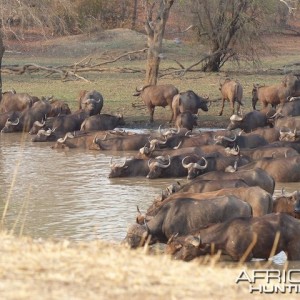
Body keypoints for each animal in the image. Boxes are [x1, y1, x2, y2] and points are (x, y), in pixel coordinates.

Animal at [165, 212, 300, 262]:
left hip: (294, 253)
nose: (175, 257)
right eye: (181, 246)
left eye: (187, 246)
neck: (226, 235)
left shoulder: (246, 257)